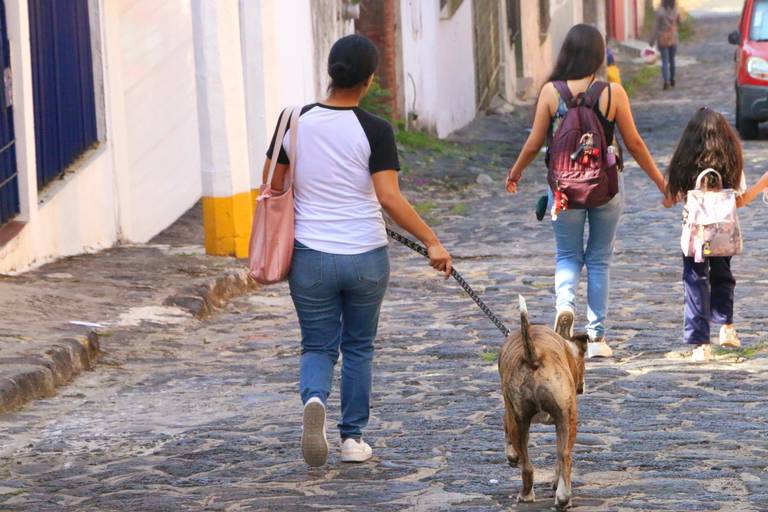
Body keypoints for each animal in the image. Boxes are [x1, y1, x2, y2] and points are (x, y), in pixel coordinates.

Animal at [498, 298, 588, 510]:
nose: (581, 388)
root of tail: (532, 355)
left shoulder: (508, 411)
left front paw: (511, 456)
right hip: (566, 419)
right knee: (564, 456)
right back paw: (562, 497)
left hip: (520, 421)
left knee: (529, 465)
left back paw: (527, 494)